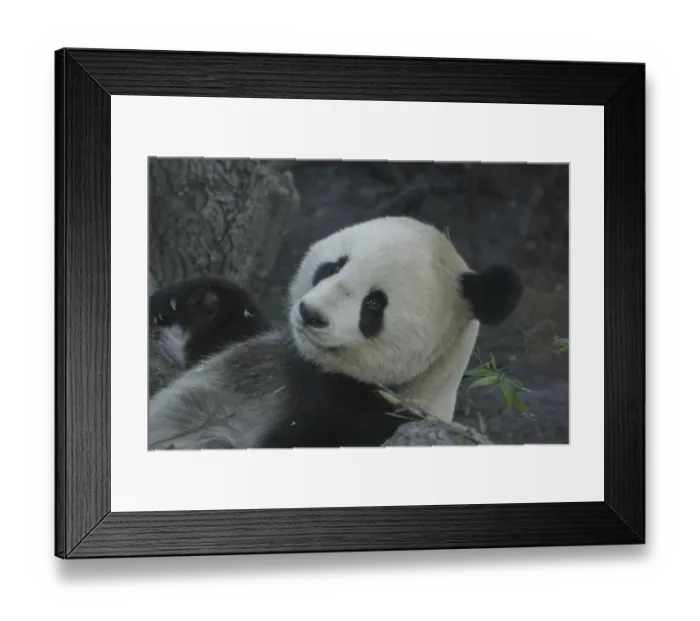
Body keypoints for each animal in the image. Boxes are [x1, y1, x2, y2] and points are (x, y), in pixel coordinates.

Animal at [147, 216, 523, 450]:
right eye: (334, 266)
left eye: (374, 304)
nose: (309, 314)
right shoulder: (254, 347)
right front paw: (188, 300)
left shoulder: (362, 418)